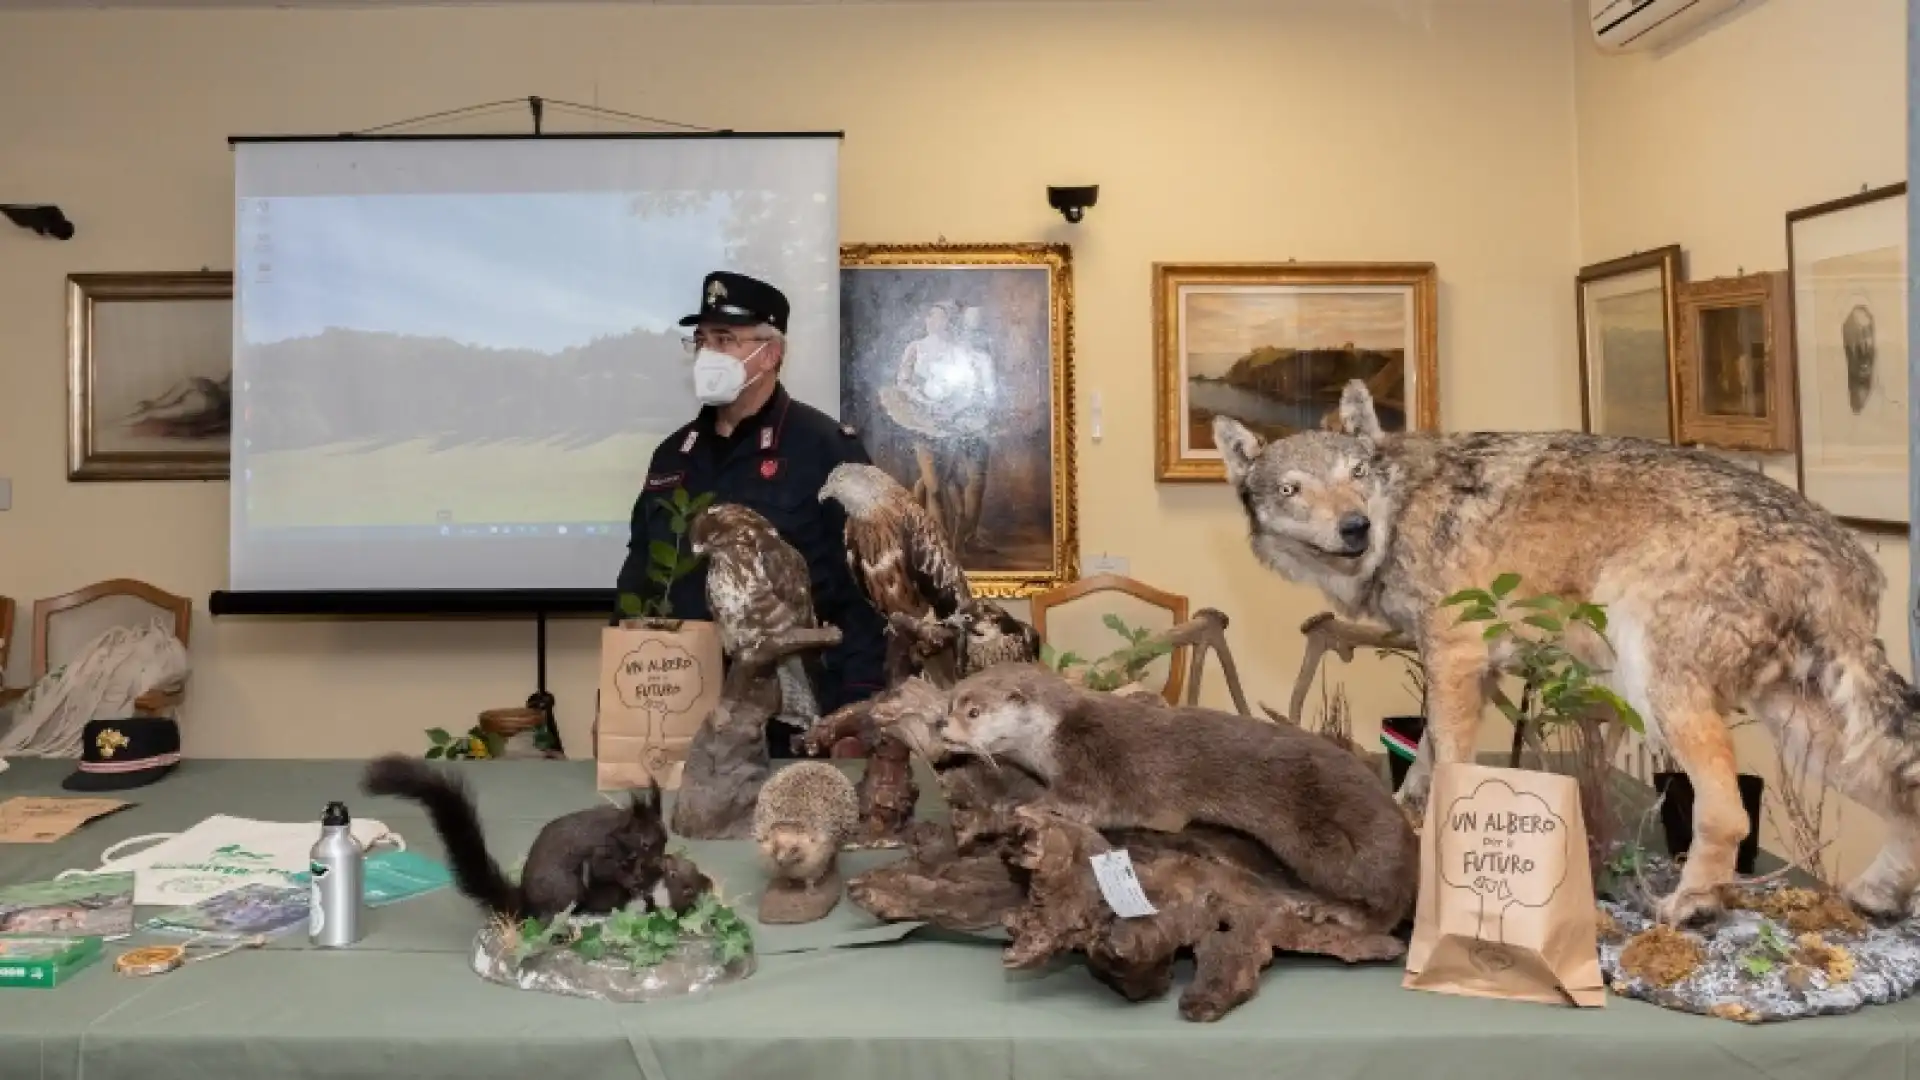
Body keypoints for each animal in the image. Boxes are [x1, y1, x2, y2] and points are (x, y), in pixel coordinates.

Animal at [362, 749, 687, 914]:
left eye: (665, 839)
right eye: (645, 842)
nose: (660, 861)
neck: (619, 832)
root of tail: (526, 904)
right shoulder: (602, 849)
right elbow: (604, 869)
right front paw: (630, 878)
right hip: (565, 889)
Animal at [936, 664, 1420, 926]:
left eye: (973, 711)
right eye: (951, 701)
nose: (942, 726)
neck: (1055, 735)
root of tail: (1407, 836)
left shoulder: (1091, 766)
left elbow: (1078, 803)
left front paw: (1028, 805)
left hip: (1332, 848)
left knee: (1389, 905)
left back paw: (1338, 912)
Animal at [1213, 378, 1920, 926]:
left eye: (1356, 475)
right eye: (1291, 490)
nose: (1354, 526)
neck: (1404, 505)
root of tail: (1844, 552)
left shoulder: (1454, 655)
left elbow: (1448, 758)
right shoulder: (1462, 666)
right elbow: (1426, 756)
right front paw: (1406, 814)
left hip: (1658, 687)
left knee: (1726, 813)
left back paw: (1690, 907)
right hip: (1801, 727)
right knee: (1902, 792)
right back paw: (1878, 896)